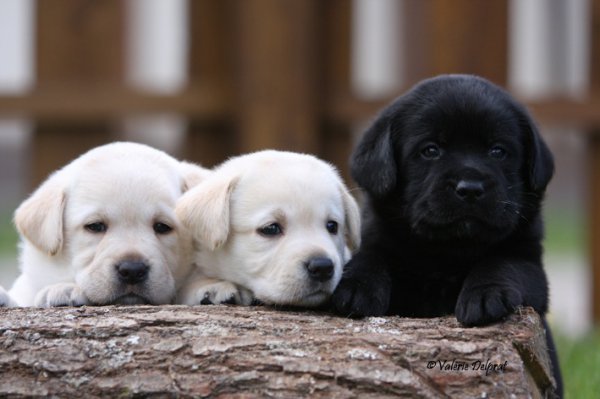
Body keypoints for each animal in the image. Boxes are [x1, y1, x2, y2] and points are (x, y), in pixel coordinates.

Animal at [332, 74, 564, 396]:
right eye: (430, 150)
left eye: (497, 151)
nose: (470, 188)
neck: (446, 254)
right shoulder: (379, 236)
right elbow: (370, 256)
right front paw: (354, 286)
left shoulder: (531, 266)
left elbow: (503, 263)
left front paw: (485, 294)